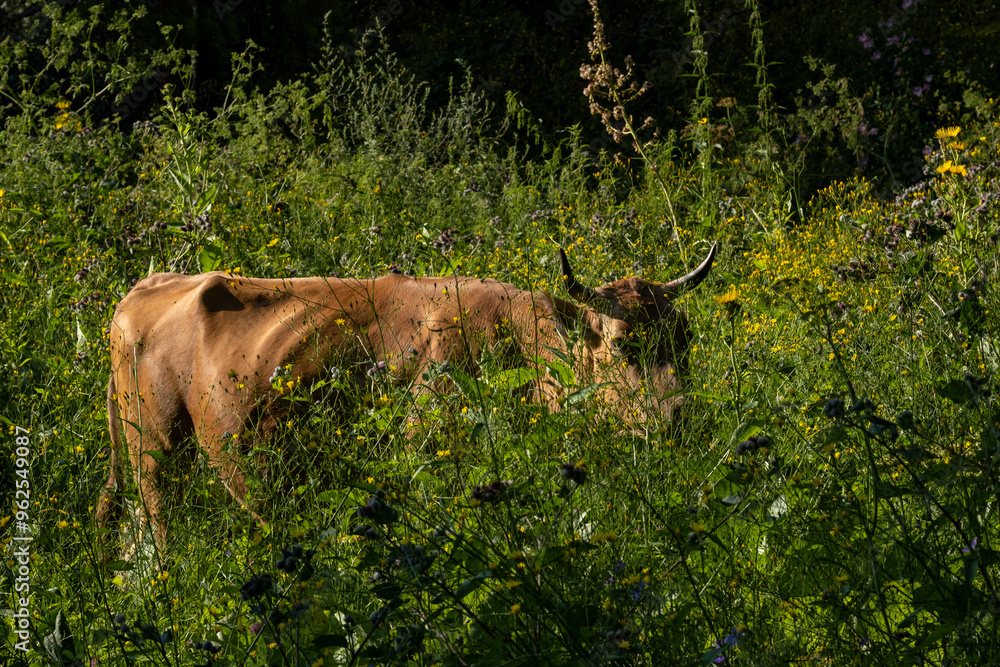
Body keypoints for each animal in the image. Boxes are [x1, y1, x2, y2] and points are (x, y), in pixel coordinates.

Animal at [97, 245, 716, 552]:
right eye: (624, 345)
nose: (679, 418)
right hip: (154, 447)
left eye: (686, 337)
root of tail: (145, 287)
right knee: (160, 522)